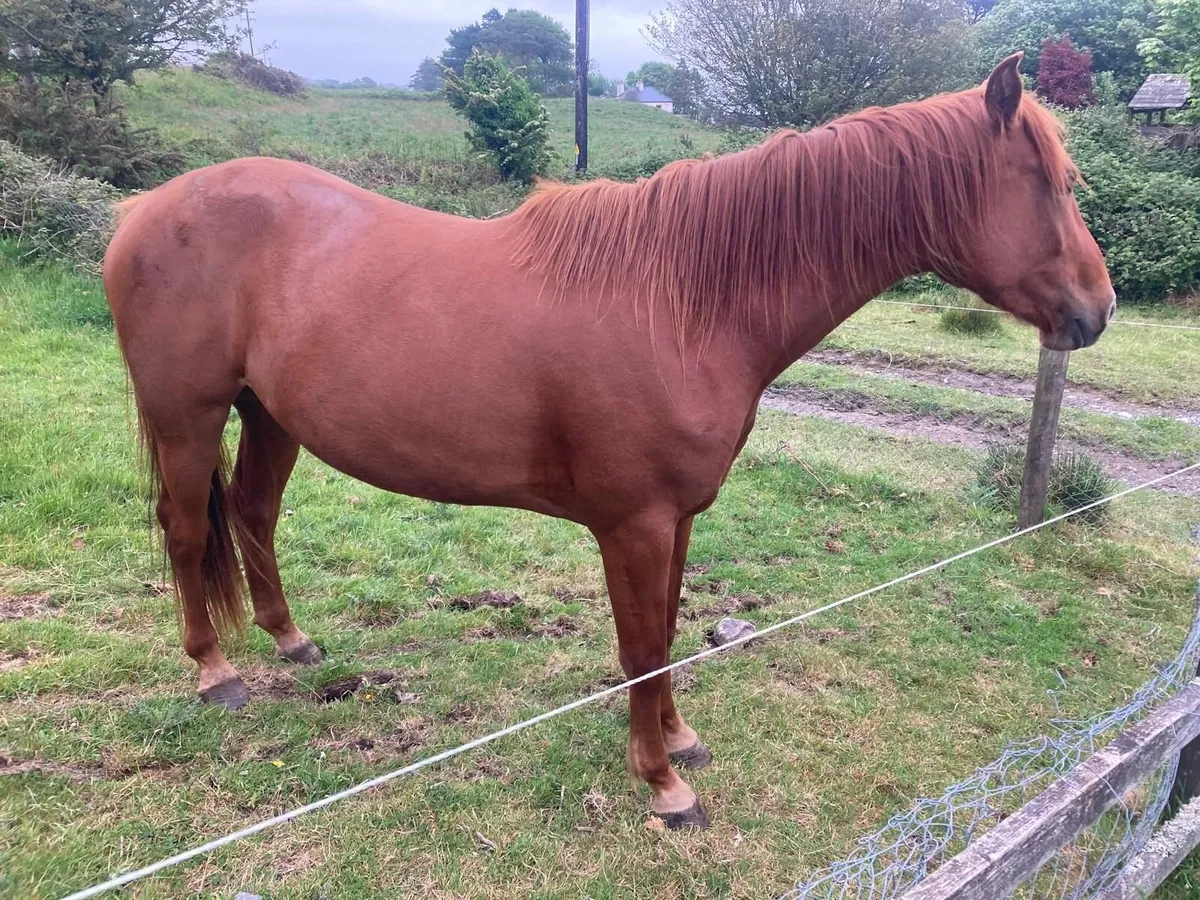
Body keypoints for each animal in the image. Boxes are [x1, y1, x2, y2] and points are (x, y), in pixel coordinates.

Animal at [103, 54, 1114, 829]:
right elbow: (639, 647)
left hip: (270, 416)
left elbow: (664, 632)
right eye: (1055, 185)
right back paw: (215, 674)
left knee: (255, 514)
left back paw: (292, 642)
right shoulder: (633, 524)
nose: (1097, 311)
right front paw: (662, 787)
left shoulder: (679, 519)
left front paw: (680, 742)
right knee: (187, 529)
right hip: (189, 414)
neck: (684, 301)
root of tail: (143, 210)